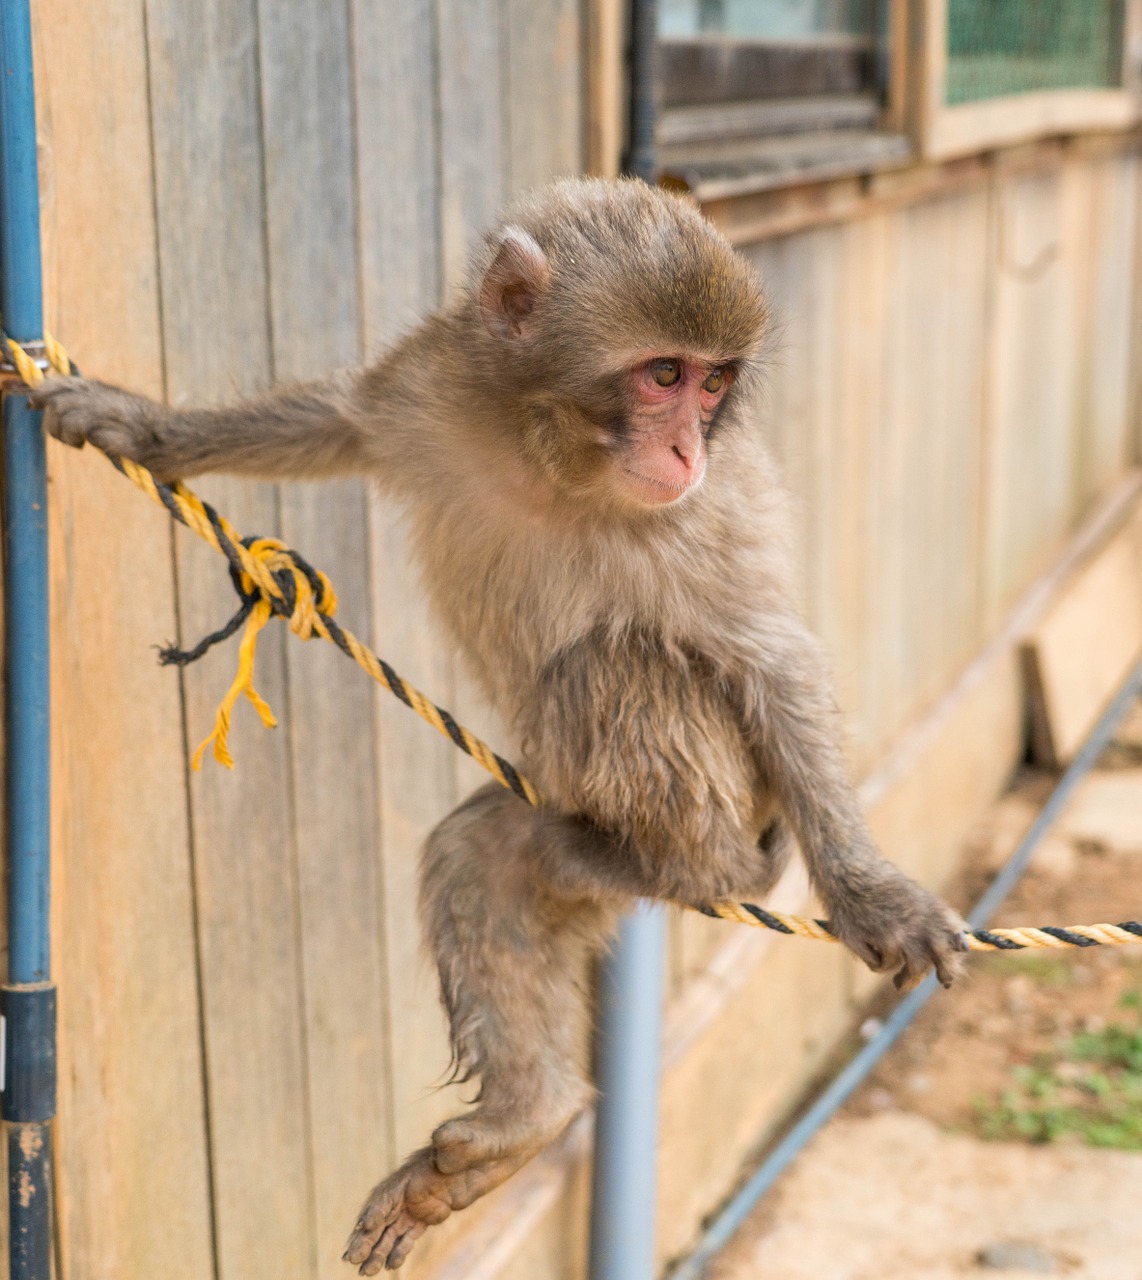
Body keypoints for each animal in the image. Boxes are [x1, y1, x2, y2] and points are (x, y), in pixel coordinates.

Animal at [33, 177, 962, 1269]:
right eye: (665, 374)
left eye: (713, 385)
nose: (688, 445)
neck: (550, 451)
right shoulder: (432, 389)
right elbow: (336, 419)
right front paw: (142, 426)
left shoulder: (703, 518)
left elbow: (770, 657)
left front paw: (870, 893)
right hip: (559, 831)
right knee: (480, 858)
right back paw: (531, 1111)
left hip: (737, 805)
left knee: (604, 668)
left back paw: (696, 871)